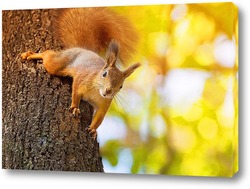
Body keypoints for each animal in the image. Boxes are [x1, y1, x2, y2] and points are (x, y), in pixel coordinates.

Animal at [21, 7, 141, 139]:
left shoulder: (105, 104)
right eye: (104, 74)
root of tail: (81, 49)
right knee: (47, 55)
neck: (96, 91)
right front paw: (75, 107)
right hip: (58, 63)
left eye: (121, 86)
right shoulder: (82, 79)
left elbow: (99, 118)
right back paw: (30, 55)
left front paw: (93, 129)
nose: (108, 91)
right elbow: (75, 93)